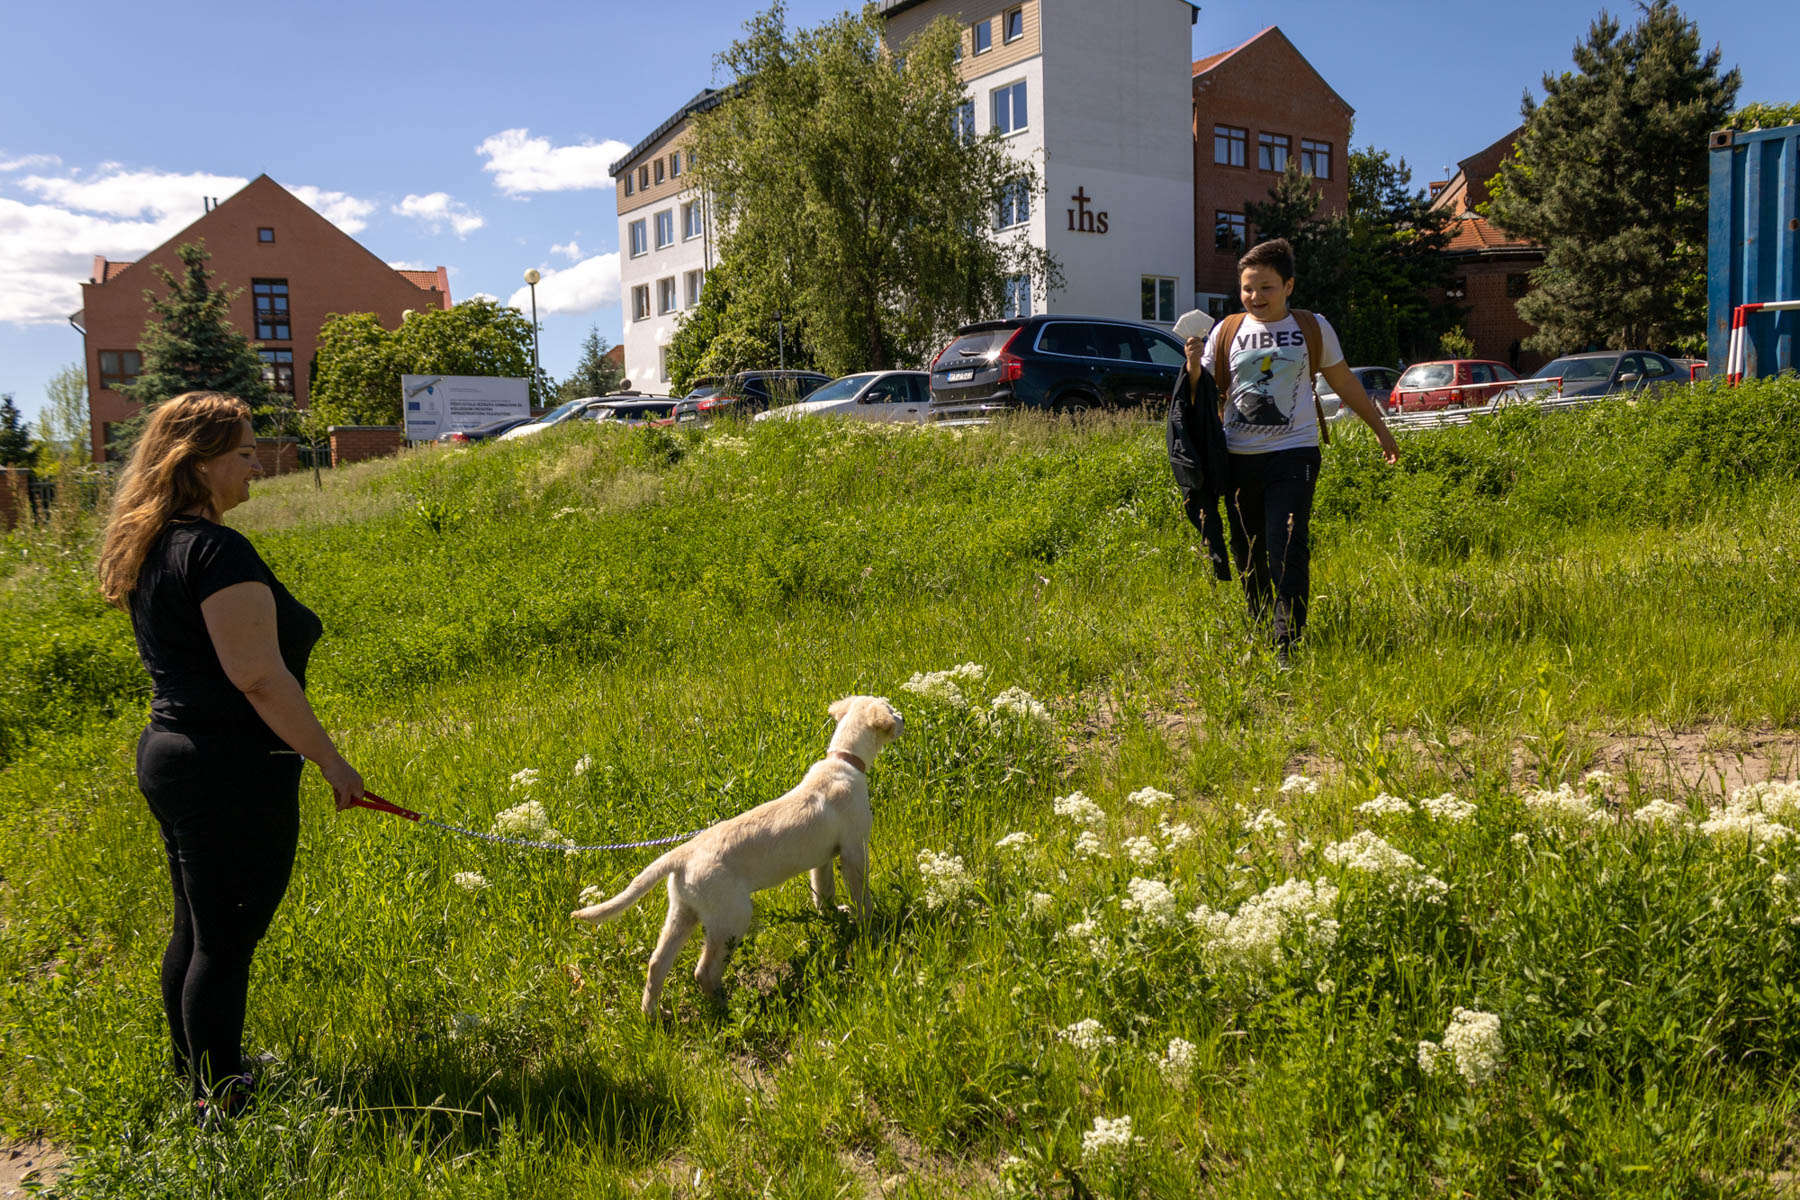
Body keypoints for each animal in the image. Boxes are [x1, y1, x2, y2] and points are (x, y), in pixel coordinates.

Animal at [572, 694, 900, 1014]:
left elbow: (823, 892)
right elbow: (860, 893)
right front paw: (869, 925)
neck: (844, 761)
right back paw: (728, 1008)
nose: (903, 717)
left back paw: (655, 1014)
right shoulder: (854, 849)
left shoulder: (822, 858)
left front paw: (834, 917)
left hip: (684, 912)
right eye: (890, 708)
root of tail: (682, 853)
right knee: (703, 972)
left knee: (656, 963)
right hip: (733, 916)